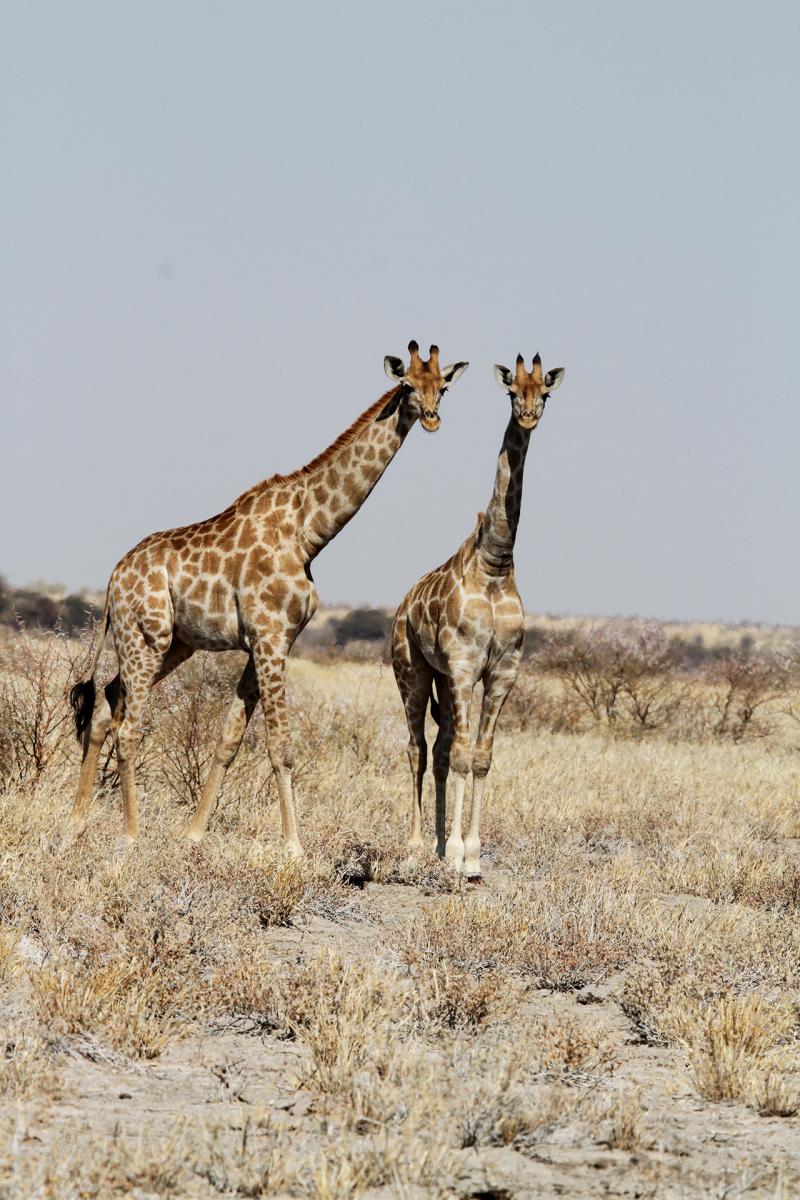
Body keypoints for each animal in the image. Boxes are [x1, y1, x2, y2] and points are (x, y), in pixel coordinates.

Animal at [70, 343, 470, 859]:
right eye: (406, 386)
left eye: (442, 387)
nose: (433, 419)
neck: (307, 532)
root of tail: (112, 579)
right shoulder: (270, 638)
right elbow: (280, 745)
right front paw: (293, 845)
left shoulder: (268, 641)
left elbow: (229, 738)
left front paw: (194, 833)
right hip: (146, 637)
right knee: (130, 728)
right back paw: (130, 835)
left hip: (172, 644)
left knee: (105, 707)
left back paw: (75, 825)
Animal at [391, 350, 566, 878]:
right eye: (511, 391)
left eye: (544, 392)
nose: (528, 416)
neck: (495, 562)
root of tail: (403, 603)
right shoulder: (466, 666)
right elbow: (466, 757)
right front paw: (455, 855)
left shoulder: (503, 670)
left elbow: (482, 757)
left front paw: (469, 855)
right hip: (412, 670)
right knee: (418, 749)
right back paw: (415, 846)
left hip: (443, 681)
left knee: (441, 749)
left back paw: (436, 843)